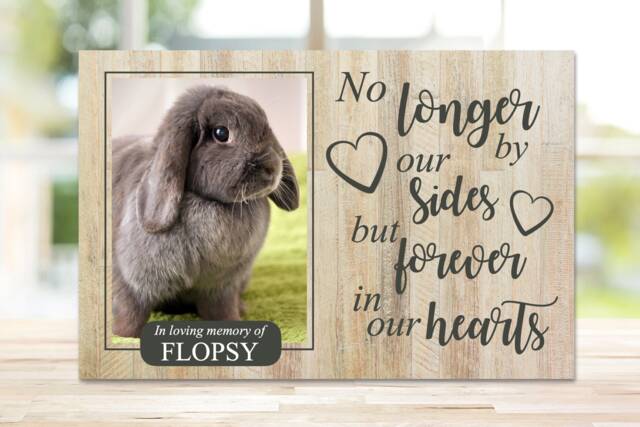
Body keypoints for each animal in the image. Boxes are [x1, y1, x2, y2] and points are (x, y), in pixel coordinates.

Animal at [111, 86, 300, 338]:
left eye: (266, 125)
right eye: (221, 133)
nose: (272, 167)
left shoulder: (221, 288)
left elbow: (222, 311)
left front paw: (234, 322)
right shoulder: (131, 283)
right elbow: (131, 312)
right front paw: (124, 336)